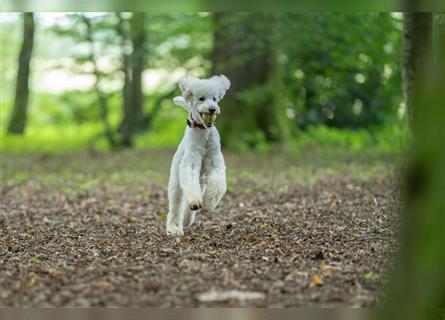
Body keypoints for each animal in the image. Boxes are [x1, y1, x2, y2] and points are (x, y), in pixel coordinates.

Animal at [165, 74, 231, 235]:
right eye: (201, 98)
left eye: (214, 99)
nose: (212, 109)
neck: (204, 134)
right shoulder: (191, 163)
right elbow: (190, 182)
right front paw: (195, 201)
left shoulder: (215, 164)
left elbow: (218, 184)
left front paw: (208, 202)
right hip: (176, 183)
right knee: (175, 207)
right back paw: (173, 228)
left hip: (201, 182)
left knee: (186, 209)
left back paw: (187, 219)